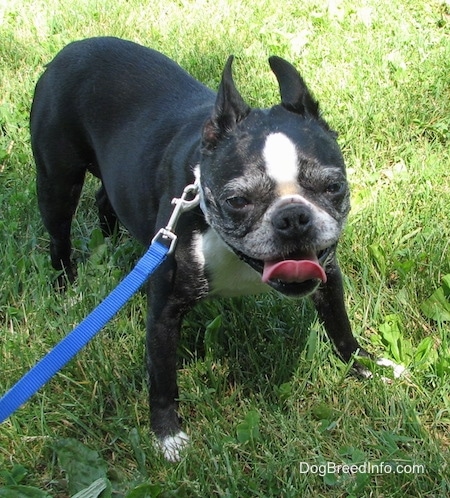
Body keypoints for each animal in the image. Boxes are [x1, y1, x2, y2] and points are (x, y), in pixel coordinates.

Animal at [31, 37, 404, 462]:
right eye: (237, 200)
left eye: (333, 186)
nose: (293, 217)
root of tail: (73, 48)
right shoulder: (163, 313)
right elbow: (162, 377)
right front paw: (167, 436)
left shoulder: (328, 277)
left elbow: (340, 327)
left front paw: (365, 365)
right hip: (57, 181)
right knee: (59, 234)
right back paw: (67, 284)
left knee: (105, 197)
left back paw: (111, 240)